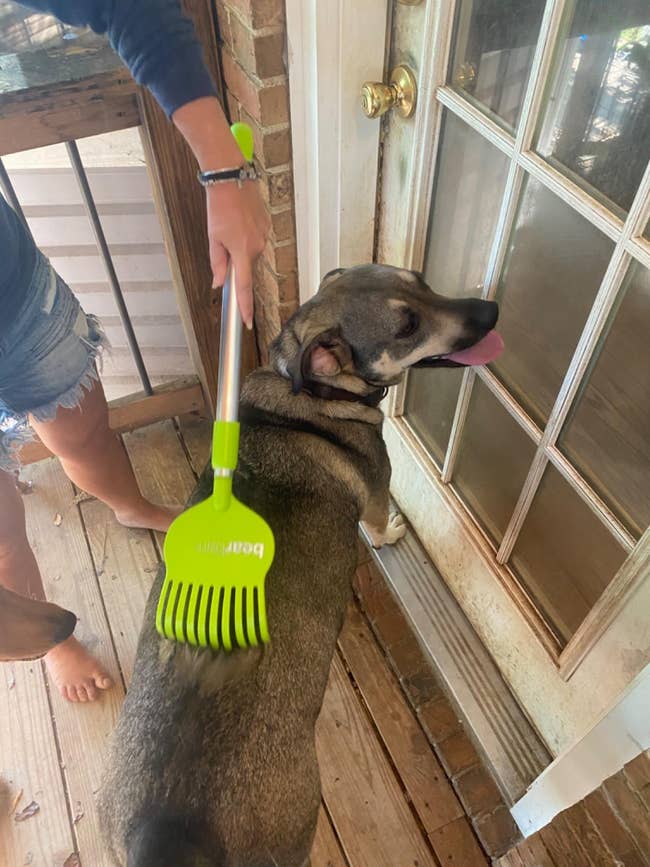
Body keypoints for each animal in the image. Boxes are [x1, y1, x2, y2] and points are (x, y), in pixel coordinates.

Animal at [97, 266, 502, 867]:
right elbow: (379, 525)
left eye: (421, 280)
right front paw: (393, 533)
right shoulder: (377, 487)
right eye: (406, 325)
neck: (310, 392)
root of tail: (167, 834)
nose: (492, 311)